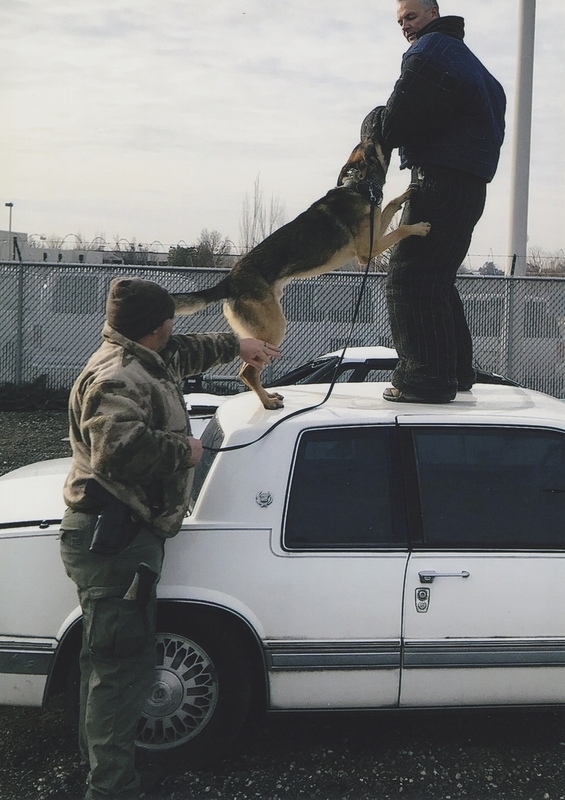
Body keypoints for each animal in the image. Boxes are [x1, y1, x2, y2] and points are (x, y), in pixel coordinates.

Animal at [172, 138, 428, 410]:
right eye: (370, 144)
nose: (375, 132)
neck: (359, 187)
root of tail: (229, 281)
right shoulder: (368, 250)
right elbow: (399, 230)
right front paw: (419, 227)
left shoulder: (375, 232)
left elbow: (390, 205)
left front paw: (406, 193)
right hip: (275, 327)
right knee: (248, 372)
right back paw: (268, 402)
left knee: (248, 369)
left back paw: (268, 397)